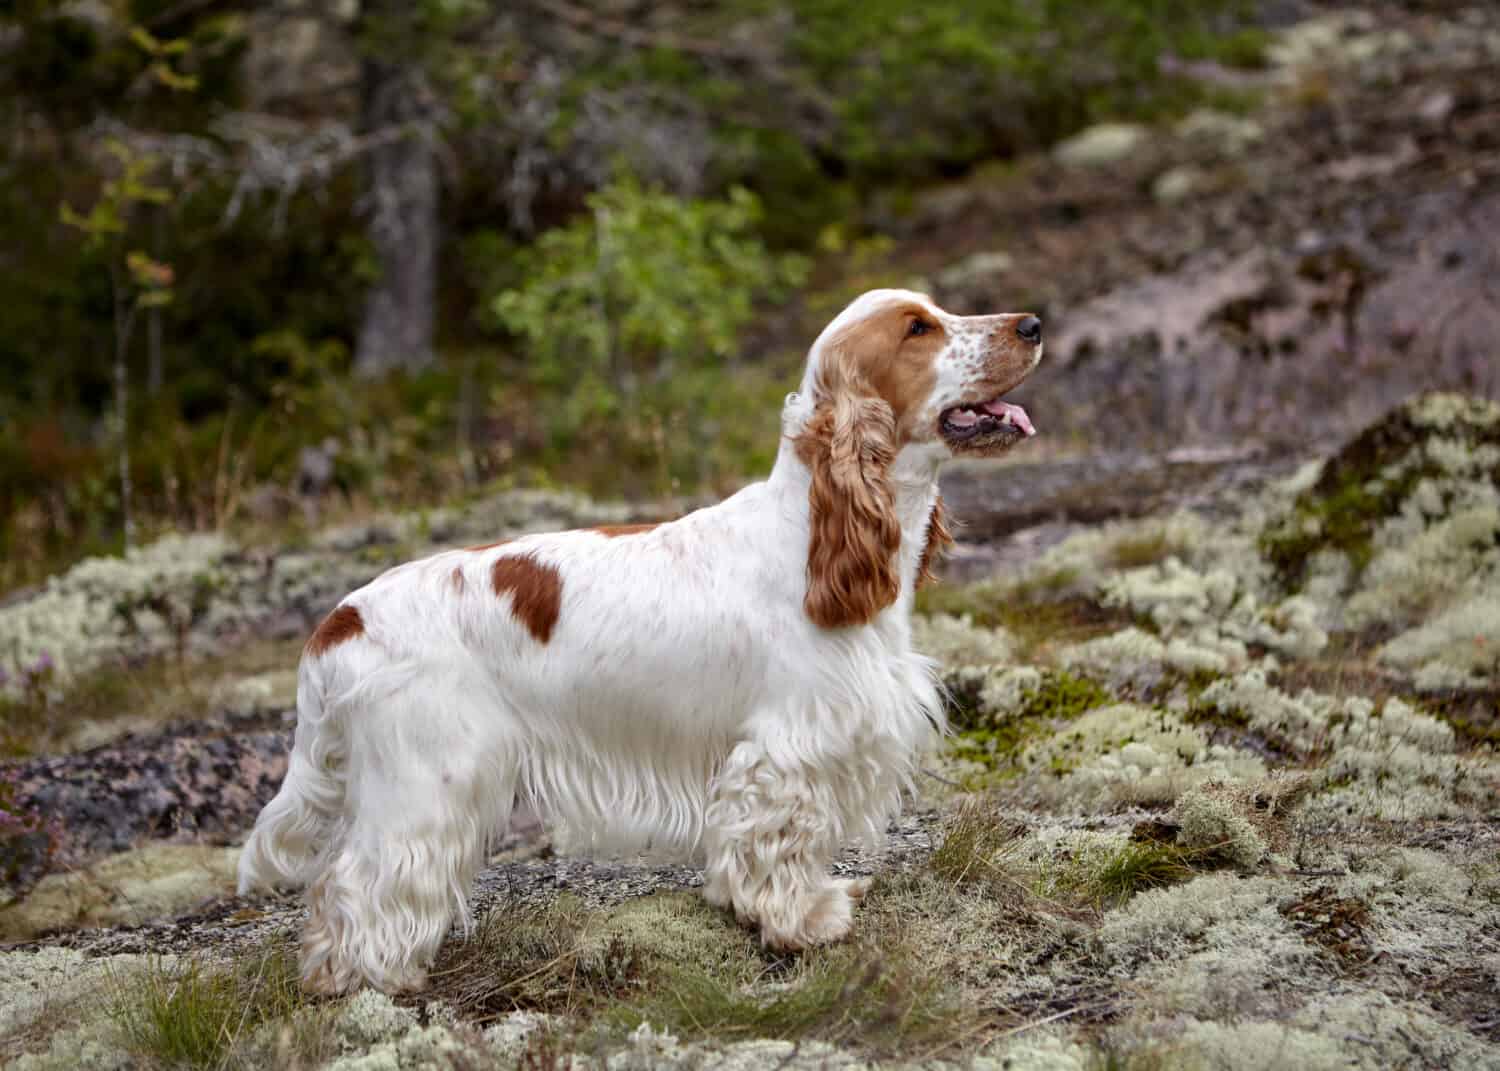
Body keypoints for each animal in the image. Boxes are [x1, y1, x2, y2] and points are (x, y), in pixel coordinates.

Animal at [243, 288, 1044, 990]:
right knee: (358, 879)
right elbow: (775, 845)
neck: (813, 533)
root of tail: (341, 617)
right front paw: (805, 920)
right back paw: (372, 980)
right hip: (427, 777)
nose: (1033, 324)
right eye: (917, 329)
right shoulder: (786, 746)